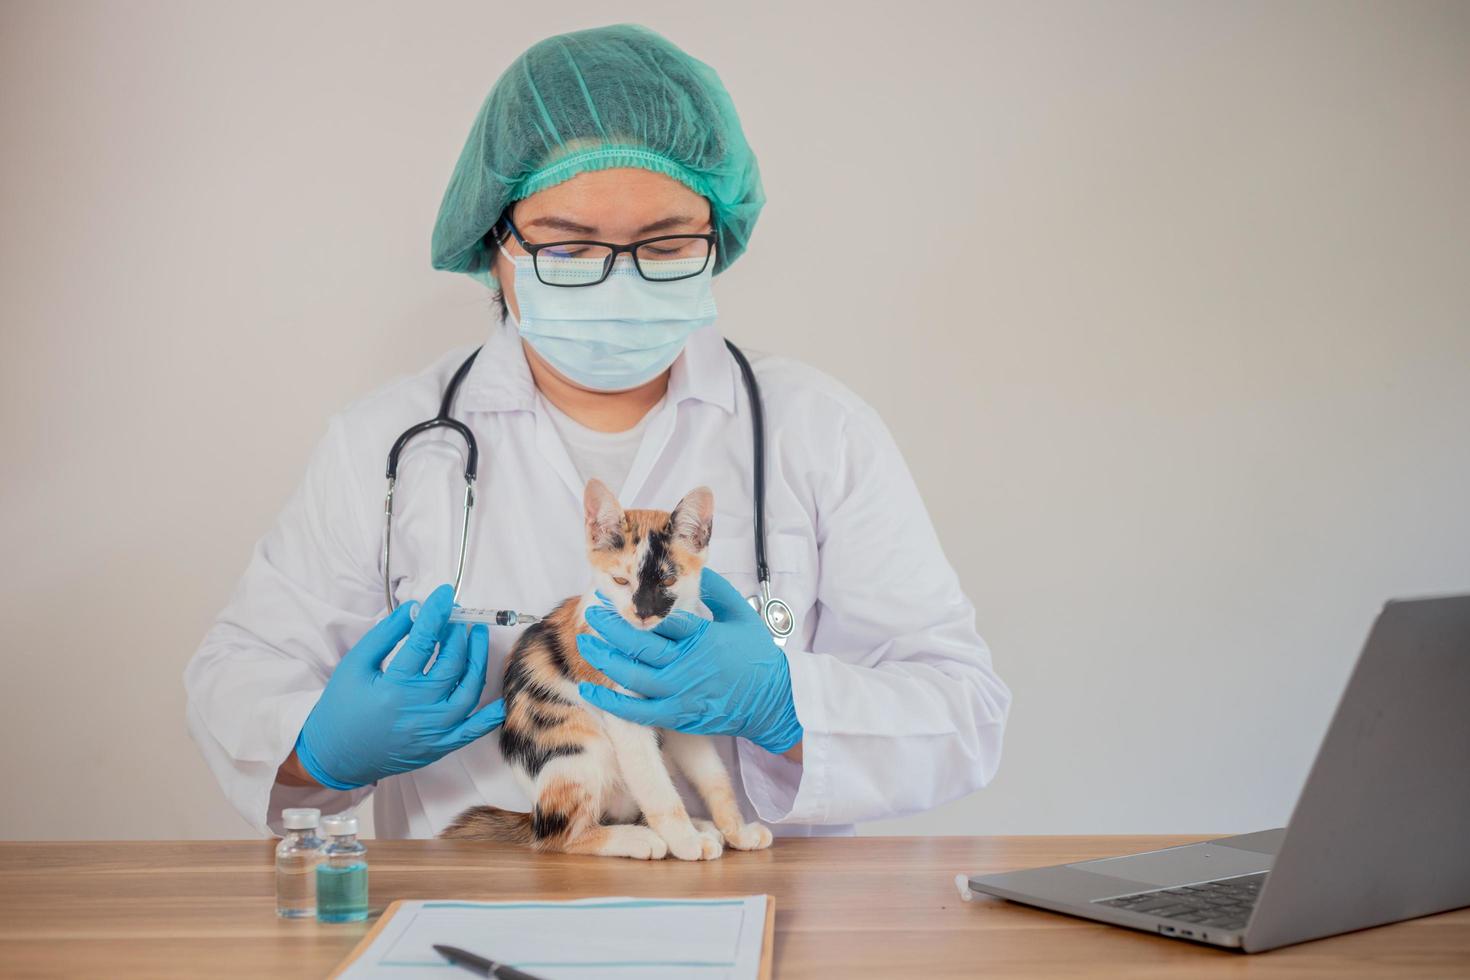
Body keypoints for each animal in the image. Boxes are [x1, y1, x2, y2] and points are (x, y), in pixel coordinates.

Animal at [438, 478, 776, 863]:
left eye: (668, 581)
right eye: (620, 581)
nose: (642, 612)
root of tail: (534, 813)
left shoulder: (681, 711)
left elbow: (713, 777)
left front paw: (736, 829)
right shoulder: (623, 715)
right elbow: (656, 786)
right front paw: (685, 841)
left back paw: (700, 826)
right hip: (580, 751)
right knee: (559, 836)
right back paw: (639, 839)